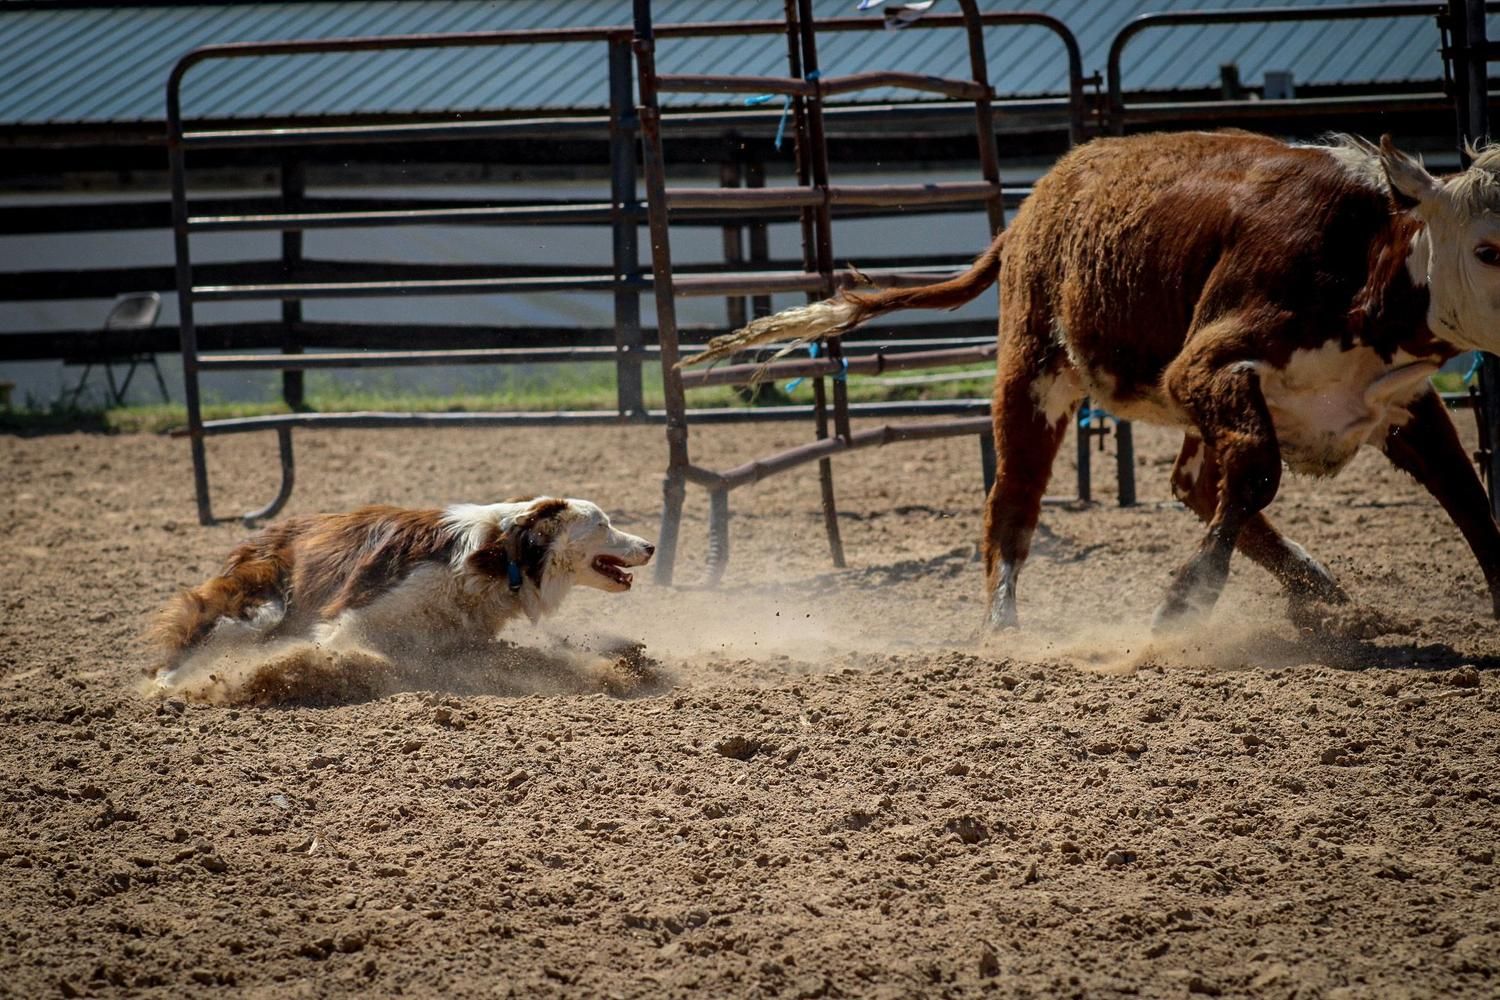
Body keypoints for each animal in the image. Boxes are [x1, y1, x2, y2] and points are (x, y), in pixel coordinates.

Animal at [147, 497, 657, 692]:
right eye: (602, 524)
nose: (651, 546)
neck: (501, 555)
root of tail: (262, 535)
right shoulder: (352, 616)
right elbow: (336, 648)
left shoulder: (464, 641)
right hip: (259, 605)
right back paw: (168, 687)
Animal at [687, 131, 1500, 632]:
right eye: (1487, 248)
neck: (1364, 262)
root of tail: (1028, 212)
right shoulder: (1206, 364)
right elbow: (1259, 473)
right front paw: (1181, 605)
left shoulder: (1401, 398)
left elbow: (1464, 491)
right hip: (1034, 376)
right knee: (1013, 500)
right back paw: (1003, 623)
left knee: (1195, 485)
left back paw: (1320, 591)